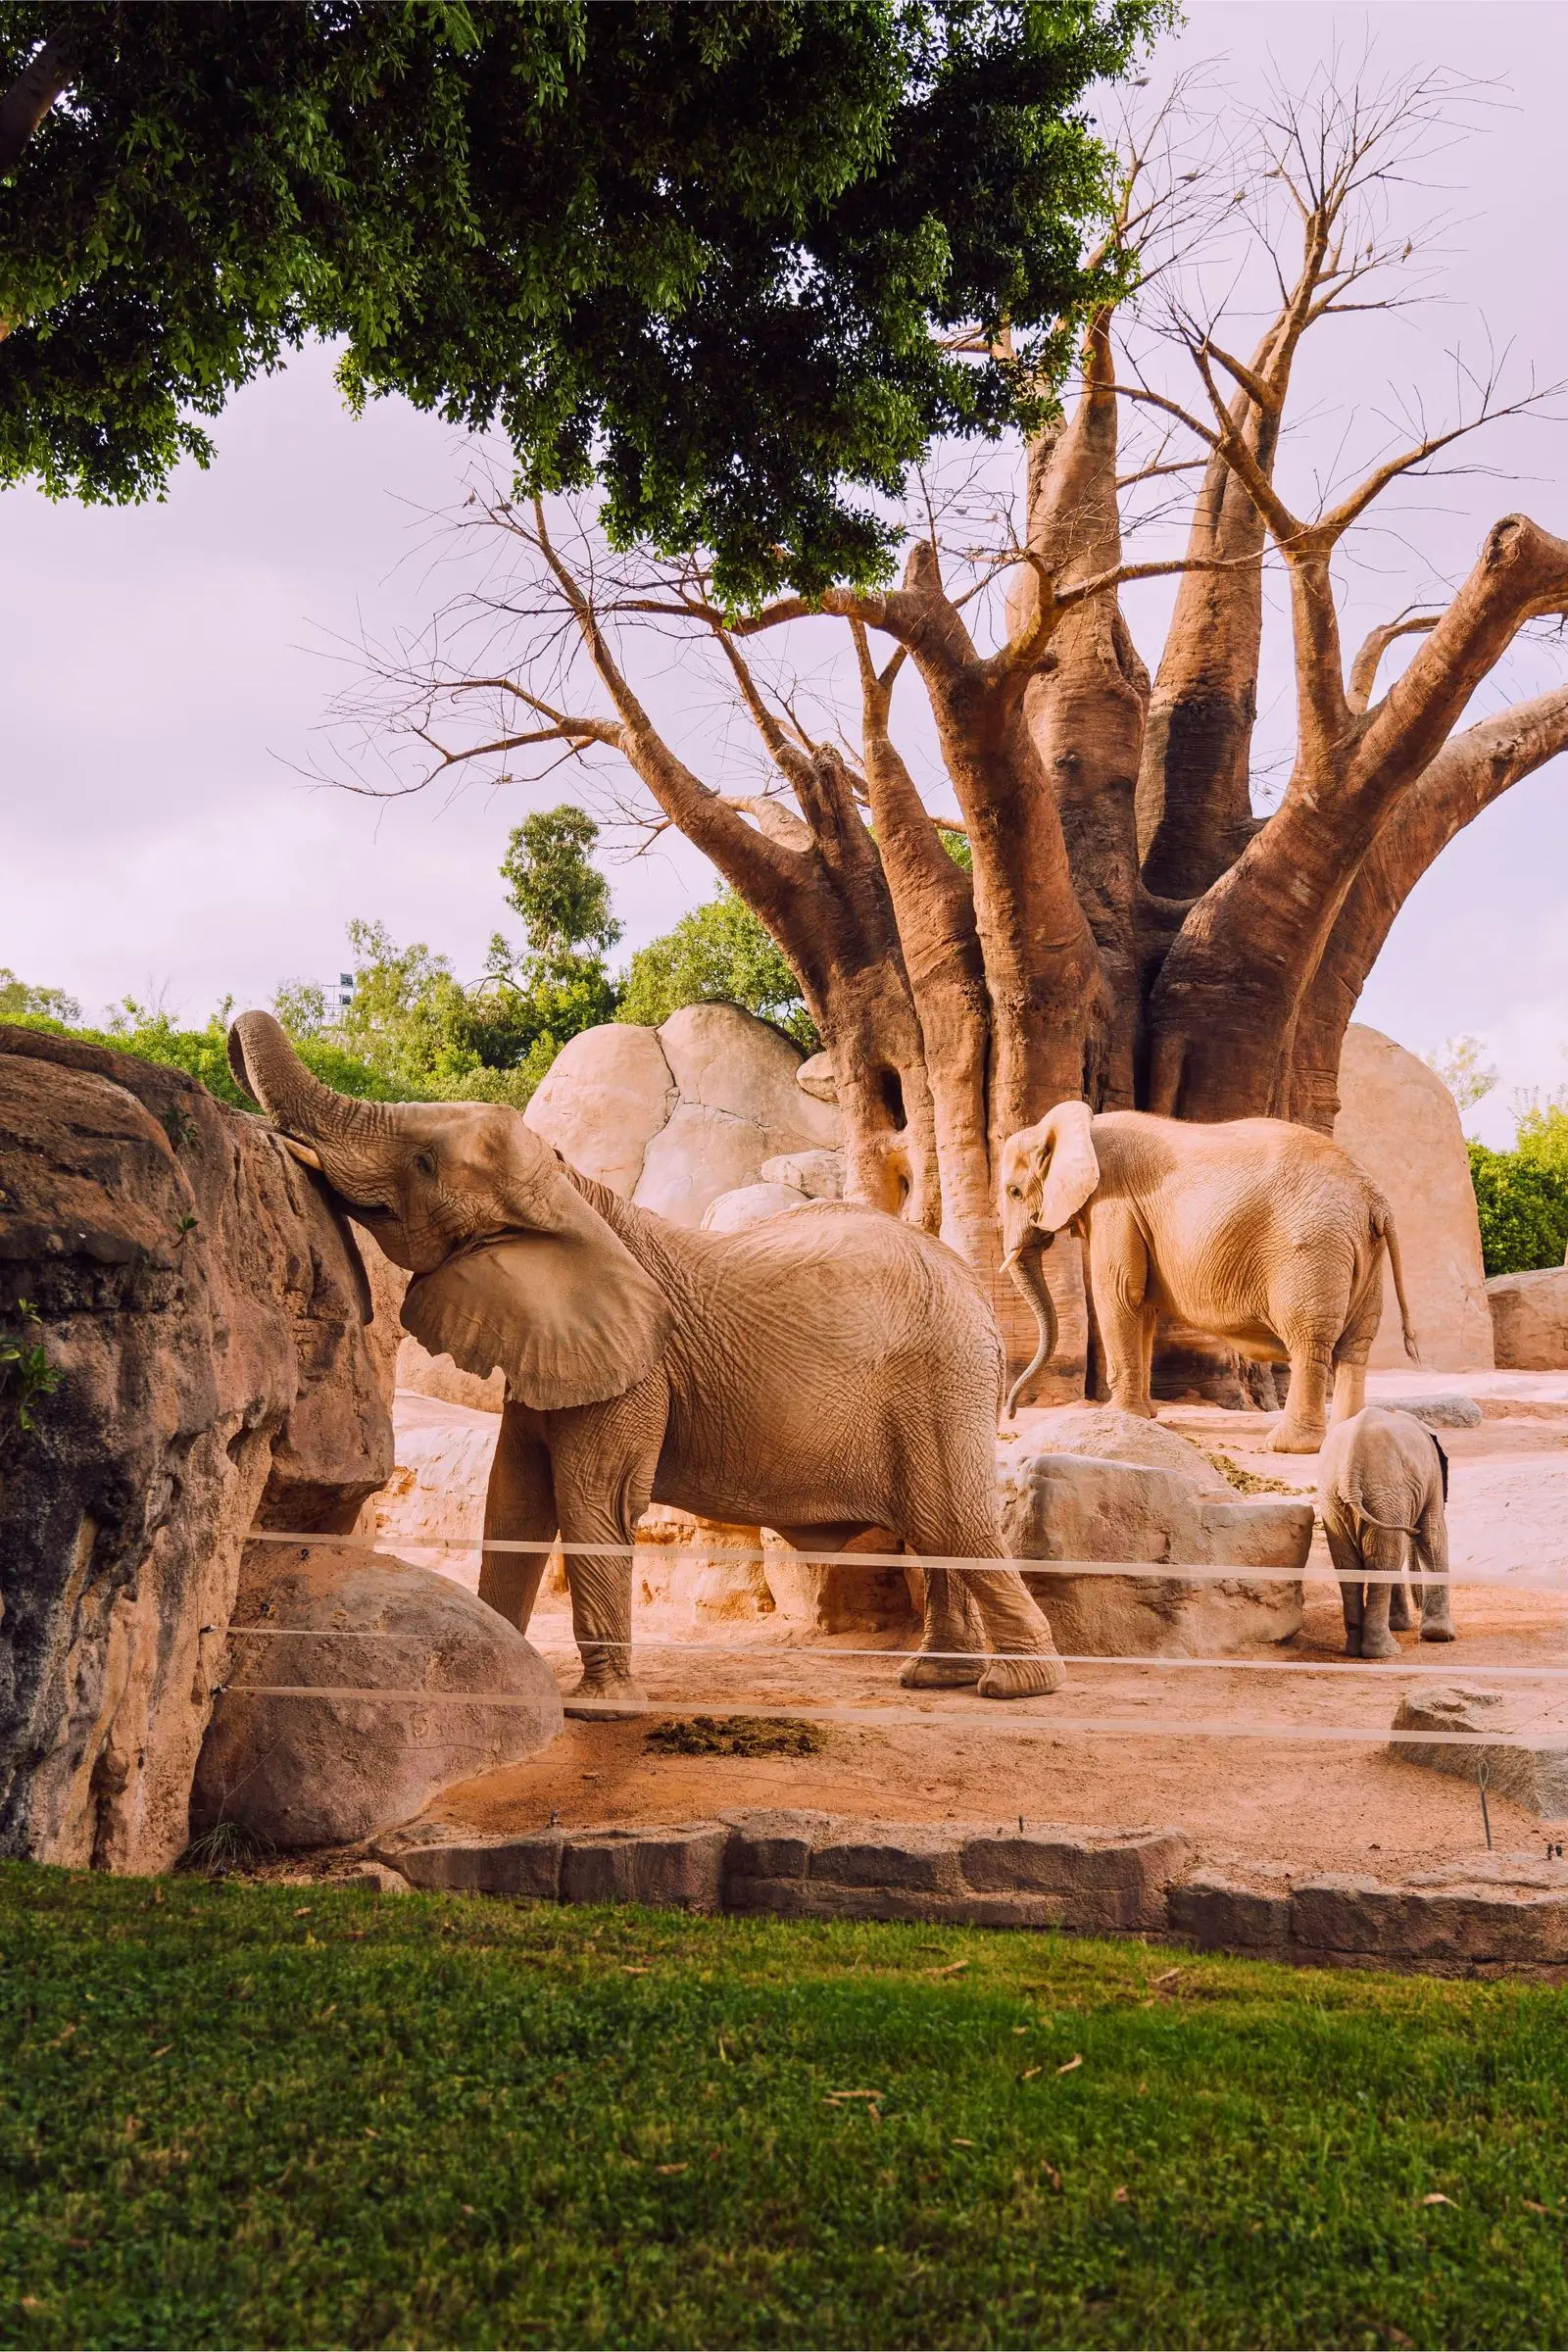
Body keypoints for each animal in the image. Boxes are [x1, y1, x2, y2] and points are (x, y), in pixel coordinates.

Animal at [226, 1012, 1063, 1708]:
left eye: (426, 1163)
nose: (235, 1034)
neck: (574, 1191)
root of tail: (973, 1291)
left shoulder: (633, 1372)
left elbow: (591, 1501)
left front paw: (597, 1710)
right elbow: (514, 1499)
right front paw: (500, 1679)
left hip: (941, 1379)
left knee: (954, 1522)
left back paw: (1015, 1686)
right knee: (934, 1530)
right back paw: (935, 1677)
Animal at [997, 1101, 1417, 1453]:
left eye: (1014, 1192)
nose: (1012, 1414)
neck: (1078, 1125)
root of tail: (1374, 1197)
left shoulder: (1115, 1204)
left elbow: (1118, 1293)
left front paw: (1117, 1416)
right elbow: (1141, 1307)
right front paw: (1146, 1417)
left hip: (1313, 1248)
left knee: (1309, 1339)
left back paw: (1288, 1446)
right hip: (1364, 1251)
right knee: (1356, 1344)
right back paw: (1348, 1435)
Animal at [1315, 1406, 1455, 1657]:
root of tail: (1350, 1474)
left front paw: (1401, 1625)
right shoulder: (1432, 1480)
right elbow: (1432, 1535)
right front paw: (1441, 1636)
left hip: (1338, 1501)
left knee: (1350, 1563)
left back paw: (1354, 1650)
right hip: (1384, 1495)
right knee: (1384, 1561)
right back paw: (1384, 1652)